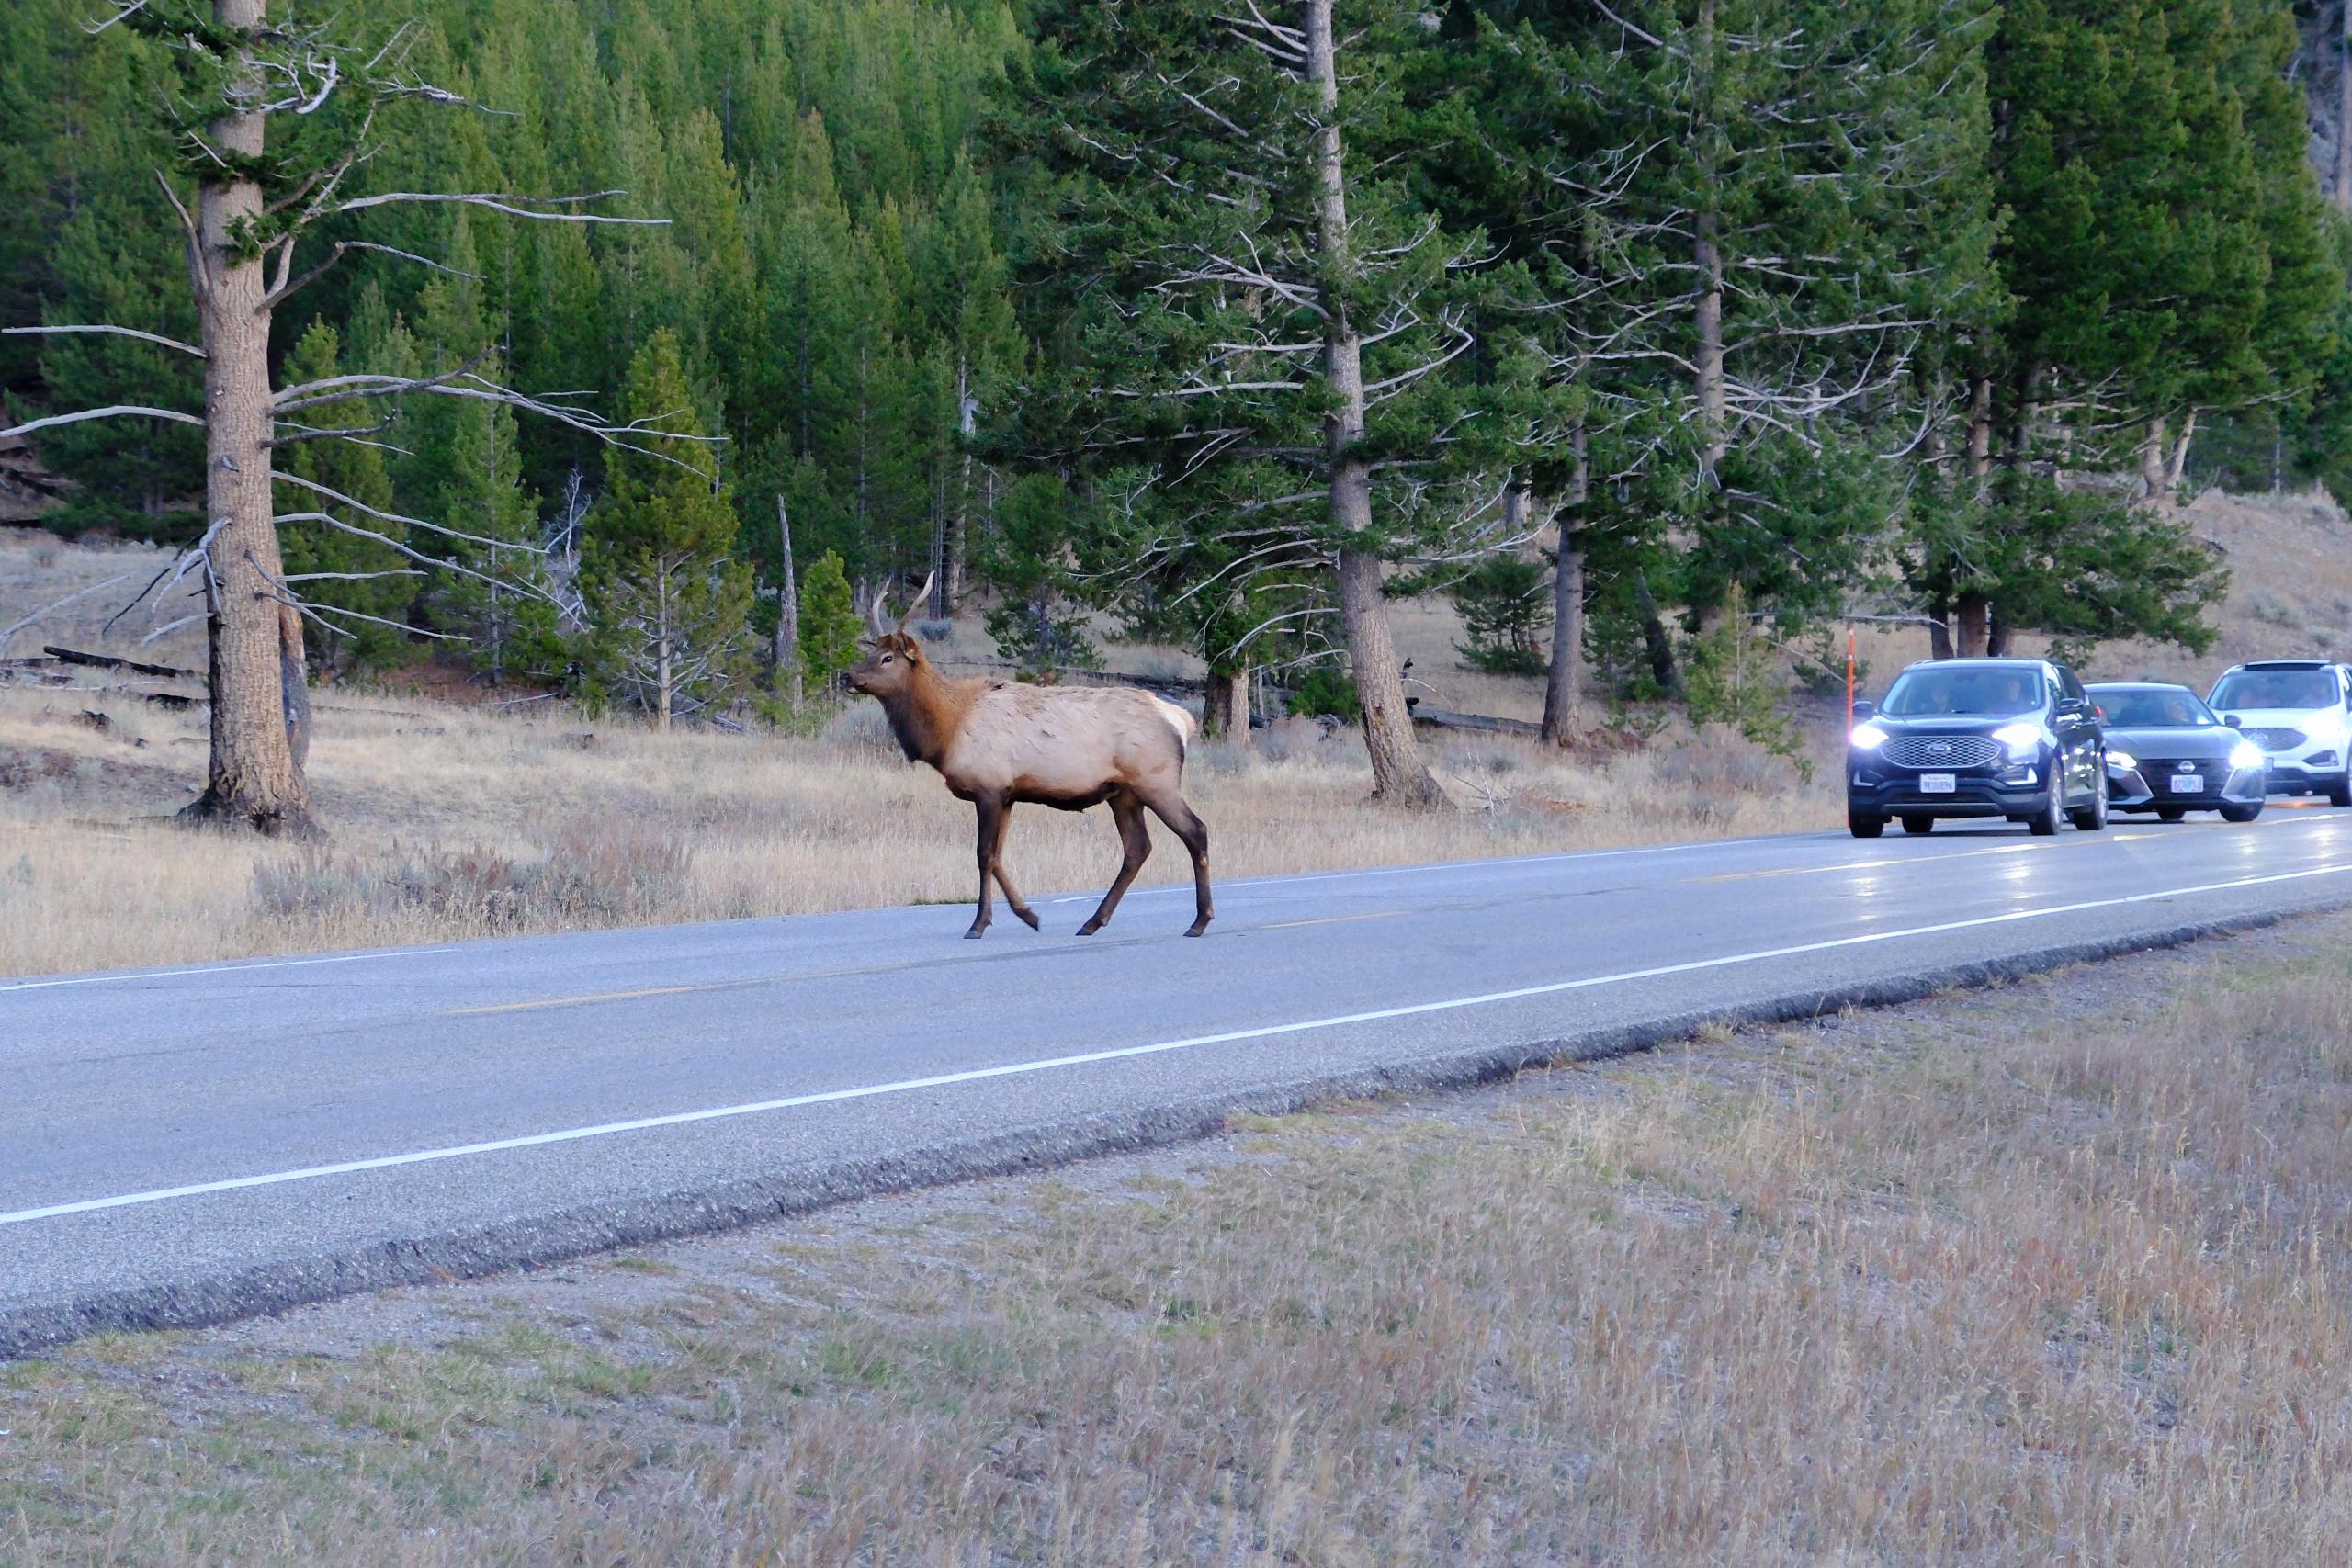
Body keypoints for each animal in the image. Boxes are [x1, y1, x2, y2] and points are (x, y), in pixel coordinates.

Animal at [846, 581, 1213, 940]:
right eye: (869, 652)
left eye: (887, 657)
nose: (847, 677)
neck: (947, 731)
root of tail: (1181, 720)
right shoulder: (1007, 795)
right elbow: (997, 856)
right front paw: (1028, 915)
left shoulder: (989, 788)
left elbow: (984, 854)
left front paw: (979, 924)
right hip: (1123, 793)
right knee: (1138, 848)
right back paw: (1093, 921)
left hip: (1156, 781)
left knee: (1195, 831)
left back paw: (1199, 920)